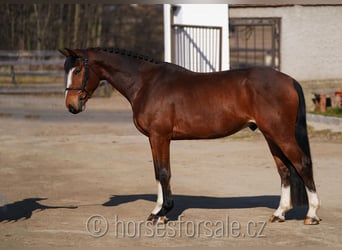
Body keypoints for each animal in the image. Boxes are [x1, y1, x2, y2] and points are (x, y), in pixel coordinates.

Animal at [59, 47, 320, 225]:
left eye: (78, 70)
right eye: (66, 70)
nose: (71, 105)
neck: (147, 83)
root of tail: (289, 80)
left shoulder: (160, 136)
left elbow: (164, 173)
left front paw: (163, 212)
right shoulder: (153, 139)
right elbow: (158, 173)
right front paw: (158, 212)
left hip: (281, 134)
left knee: (302, 164)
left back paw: (312, 214)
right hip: (270, 134)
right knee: (284, 170)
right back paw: (279, 213)